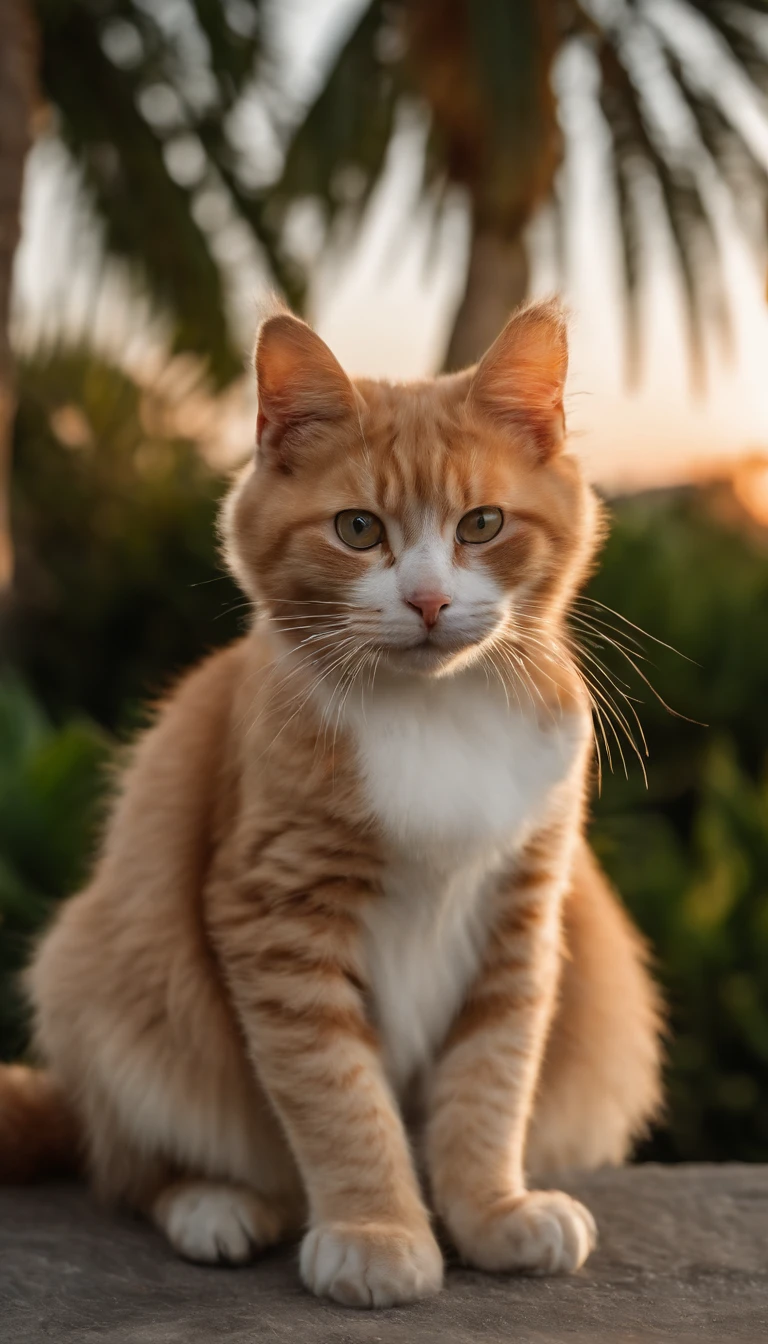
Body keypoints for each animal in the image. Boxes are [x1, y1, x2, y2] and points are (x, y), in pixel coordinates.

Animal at [0, 299, 661, 1306]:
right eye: (357, 529)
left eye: (482, 524)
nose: (427, 601)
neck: (435, 714)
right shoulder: (278, 914)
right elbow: (338, 1096)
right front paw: (377, 1228)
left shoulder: (523, 913)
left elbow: (491, 1081)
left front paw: (490, 1211)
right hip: (105, 975)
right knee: (125, 1163)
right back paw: (216, 1203)